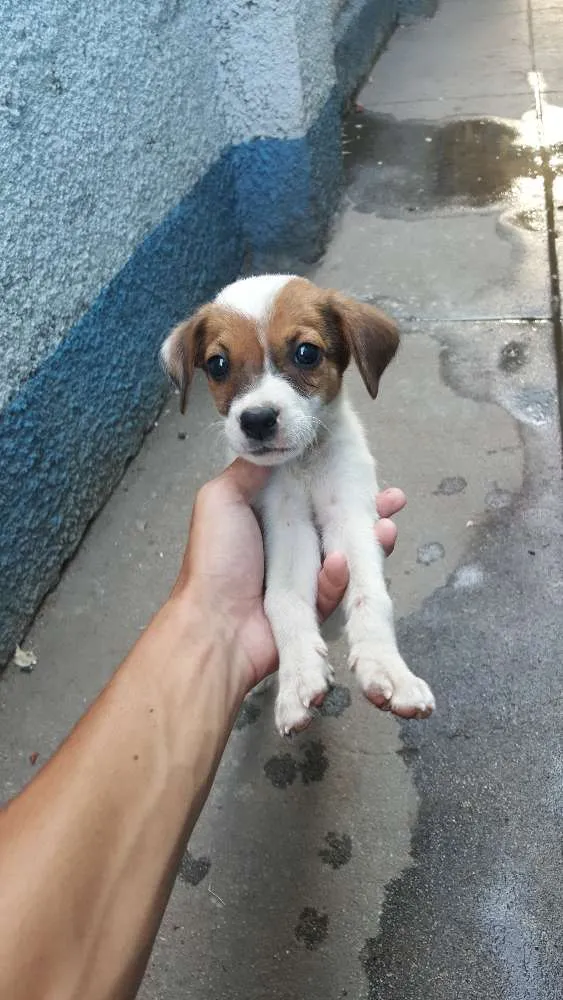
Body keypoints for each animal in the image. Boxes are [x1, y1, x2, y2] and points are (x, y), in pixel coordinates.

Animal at [161, 274, 434, 736]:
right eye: (218, 364)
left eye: (307, 353)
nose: (256, 421)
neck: (303, 465)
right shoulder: (285, 529)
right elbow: (283, 601)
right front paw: (298, 679)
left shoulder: (350, 515)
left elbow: (370, 596)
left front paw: (387, 670)